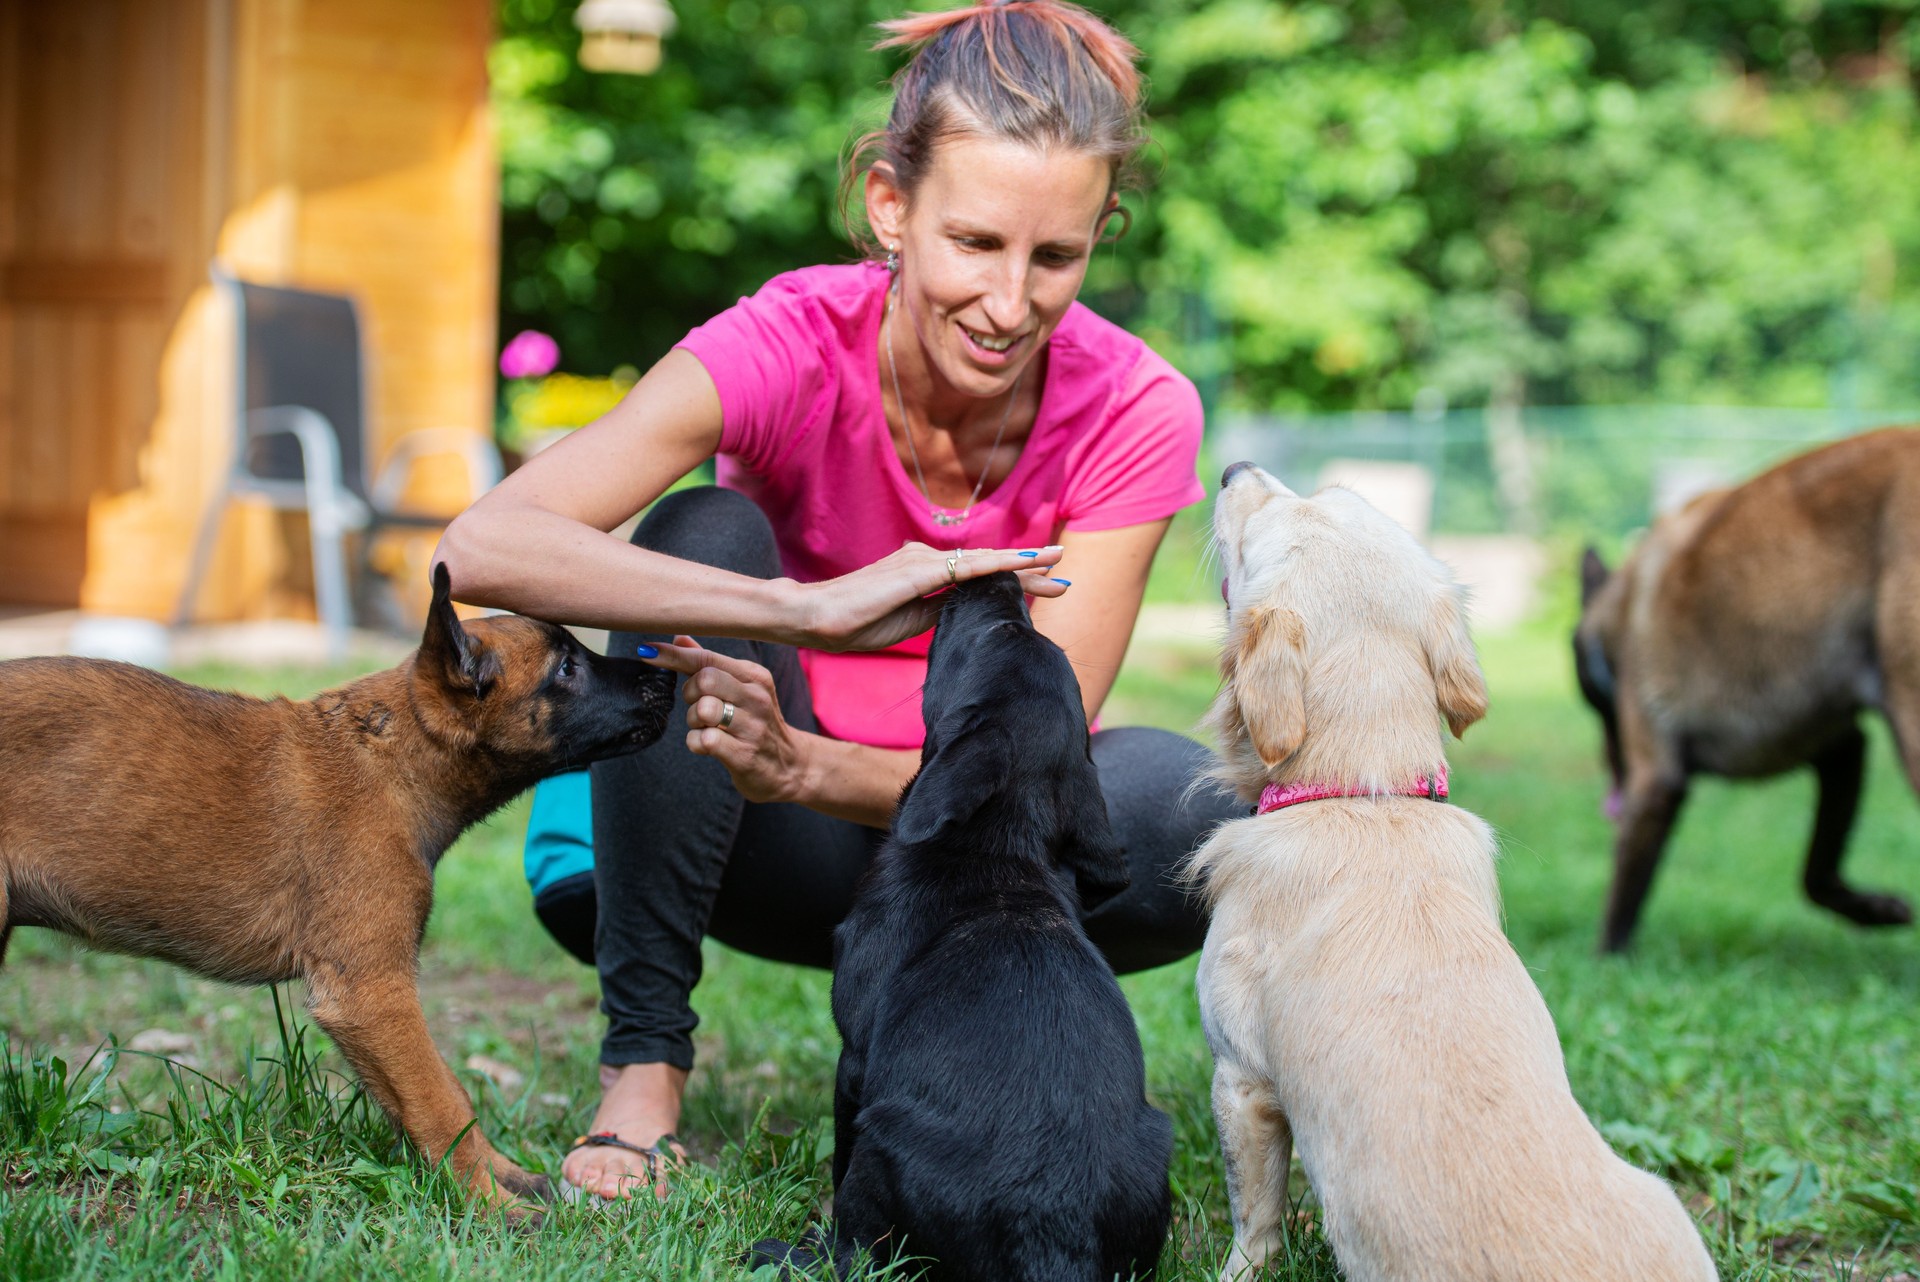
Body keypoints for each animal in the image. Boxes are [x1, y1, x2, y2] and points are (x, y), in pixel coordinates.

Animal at [0, 564, 679, 1220]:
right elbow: (437, 1100)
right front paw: (490, 1204)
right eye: (566, 668)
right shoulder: (370, 991)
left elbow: (445, 1090)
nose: (668, 678)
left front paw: (504, 1175)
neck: (392, 758)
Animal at [748, 571, 1167, 1282]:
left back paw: (789, 1253)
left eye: (1002, 629)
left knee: (860, 1253)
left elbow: (837, 1159)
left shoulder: (854, 1059)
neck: (996, 847)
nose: (999, 576)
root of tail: (1057, 1230)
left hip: (882, 1138)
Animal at [1574, 427, 1920, 951]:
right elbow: (1815, 875)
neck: (1620, 608)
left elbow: (1621, 899)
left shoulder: (1655, 782)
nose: (1611, 784)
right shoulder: (1841, 749)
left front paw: (1604, 961)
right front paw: (1874, 910)